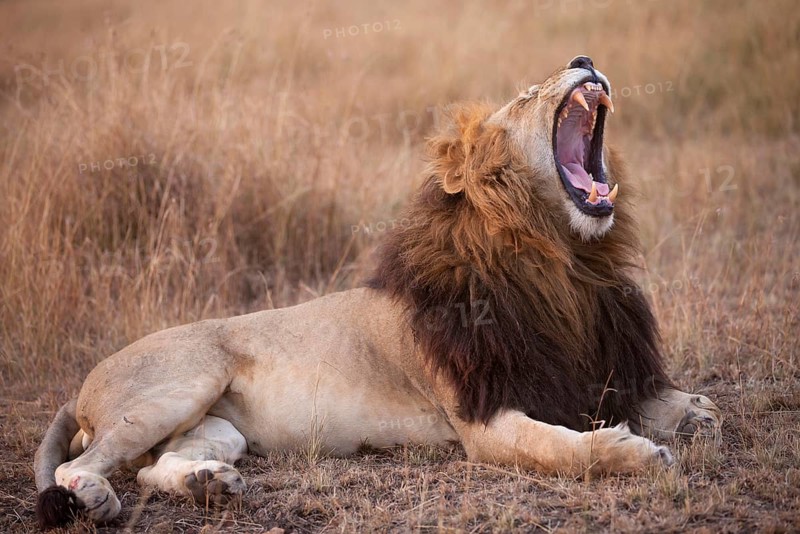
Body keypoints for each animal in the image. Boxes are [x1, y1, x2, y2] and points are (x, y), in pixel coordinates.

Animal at [34, 56, 721, 528]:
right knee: (79, 465)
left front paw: (692, 410)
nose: (583, 59)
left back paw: (210, 483)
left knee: (157, 466)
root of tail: (81, 388)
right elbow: (562, 448)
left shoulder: (590, 366)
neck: (566, 263)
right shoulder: (482, 418)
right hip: (179, 384)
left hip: (219, 427)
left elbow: (673, 403)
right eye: (527, 95)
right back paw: (95, 496)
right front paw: (634, 454)